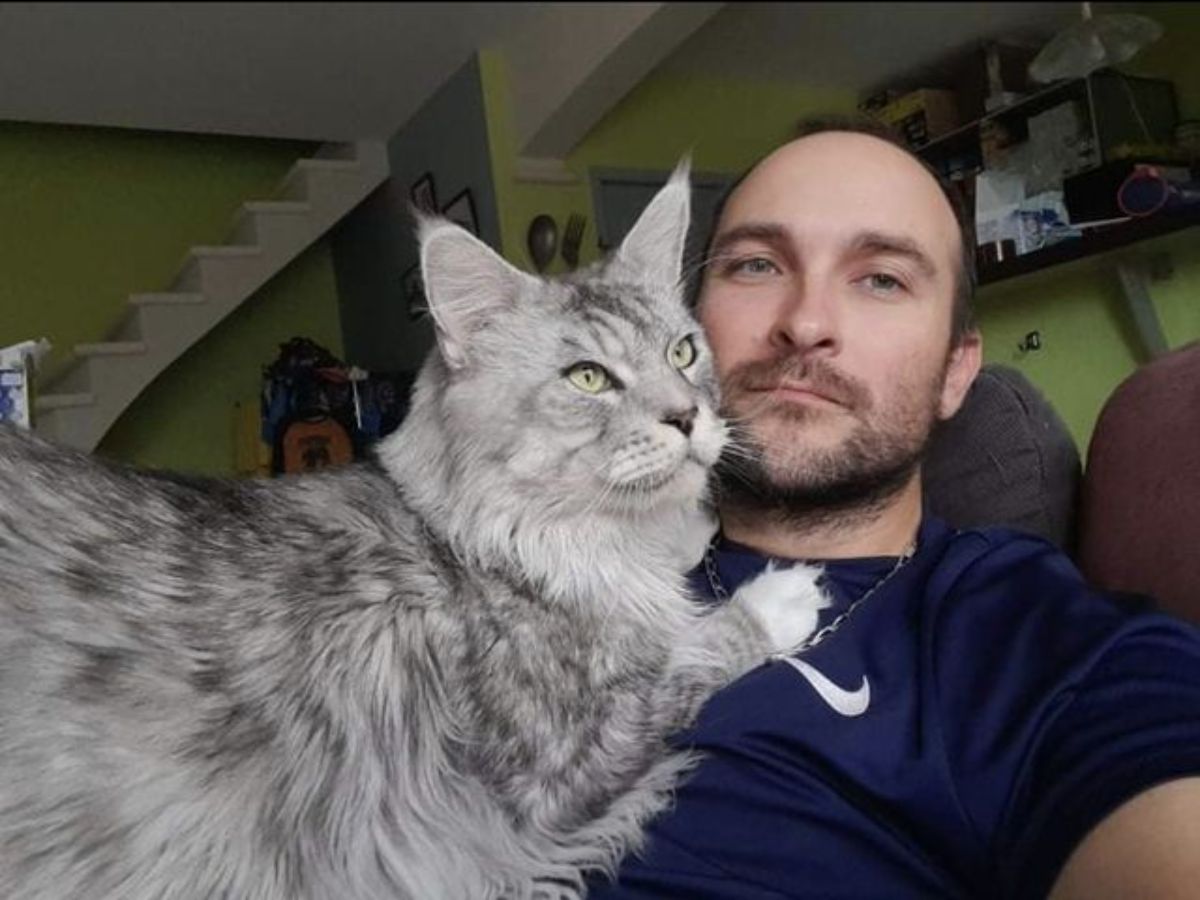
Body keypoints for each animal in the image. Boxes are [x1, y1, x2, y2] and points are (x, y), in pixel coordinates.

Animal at [0, 164, 825, 900]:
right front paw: (781, 598)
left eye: (683, 352)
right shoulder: (561, 762)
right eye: (588, 378)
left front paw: (698, 521)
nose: (688, 417)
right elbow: (698, 650)